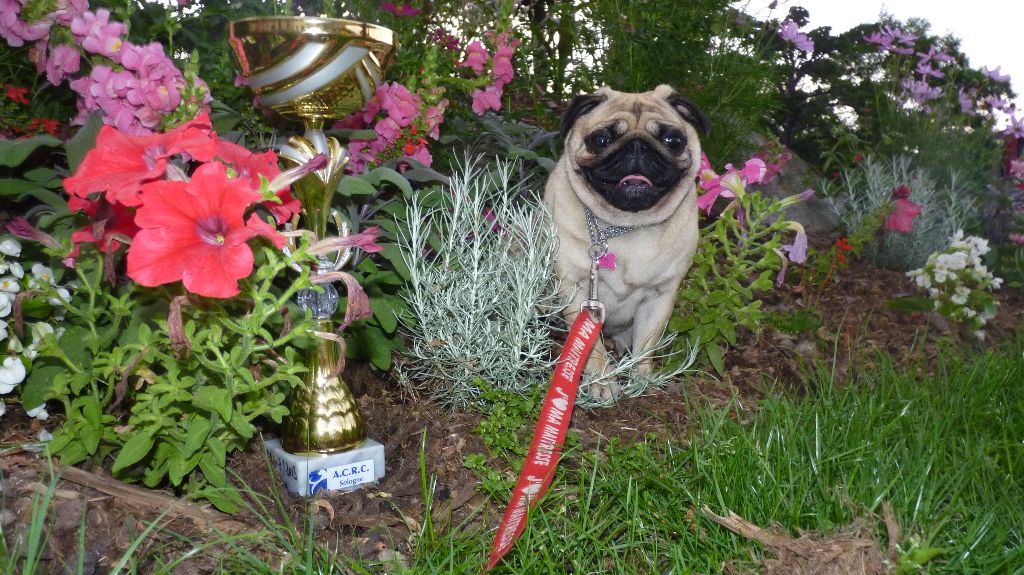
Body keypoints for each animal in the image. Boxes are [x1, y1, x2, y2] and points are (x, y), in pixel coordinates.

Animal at [548, 84, 708, 399]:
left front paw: (641, 378)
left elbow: (647, 343)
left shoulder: (660, 296)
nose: (637, 147)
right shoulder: (577, 288)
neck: (626, 227)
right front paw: (602, 380)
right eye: (600, 140)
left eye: (673, 141)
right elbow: (591, 347)